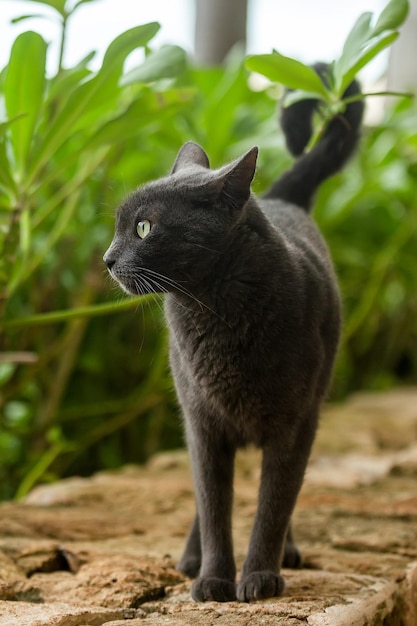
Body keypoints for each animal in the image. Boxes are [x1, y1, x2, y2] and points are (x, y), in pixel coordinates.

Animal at [103, 67, 360, 600]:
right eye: (119, 228)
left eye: (143, 228)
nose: (107, 259)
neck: (214, 312)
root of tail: (280, 197)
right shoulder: (202, 423)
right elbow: (214, 505)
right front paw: (214, 579)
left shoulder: (294, 424)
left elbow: (274, 503)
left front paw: (261, 575)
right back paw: (192, 558)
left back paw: (285, 551)